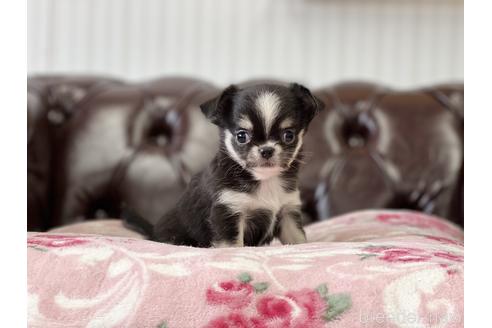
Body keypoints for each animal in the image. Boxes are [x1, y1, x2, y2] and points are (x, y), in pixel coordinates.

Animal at [125, 83, 322, 247]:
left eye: (289, 135)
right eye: (241, 136)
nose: (266, 150)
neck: (264, 180)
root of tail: (153, 232)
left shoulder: (288, 212)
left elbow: (297, 239)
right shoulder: (229, 212)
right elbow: (232, 246)